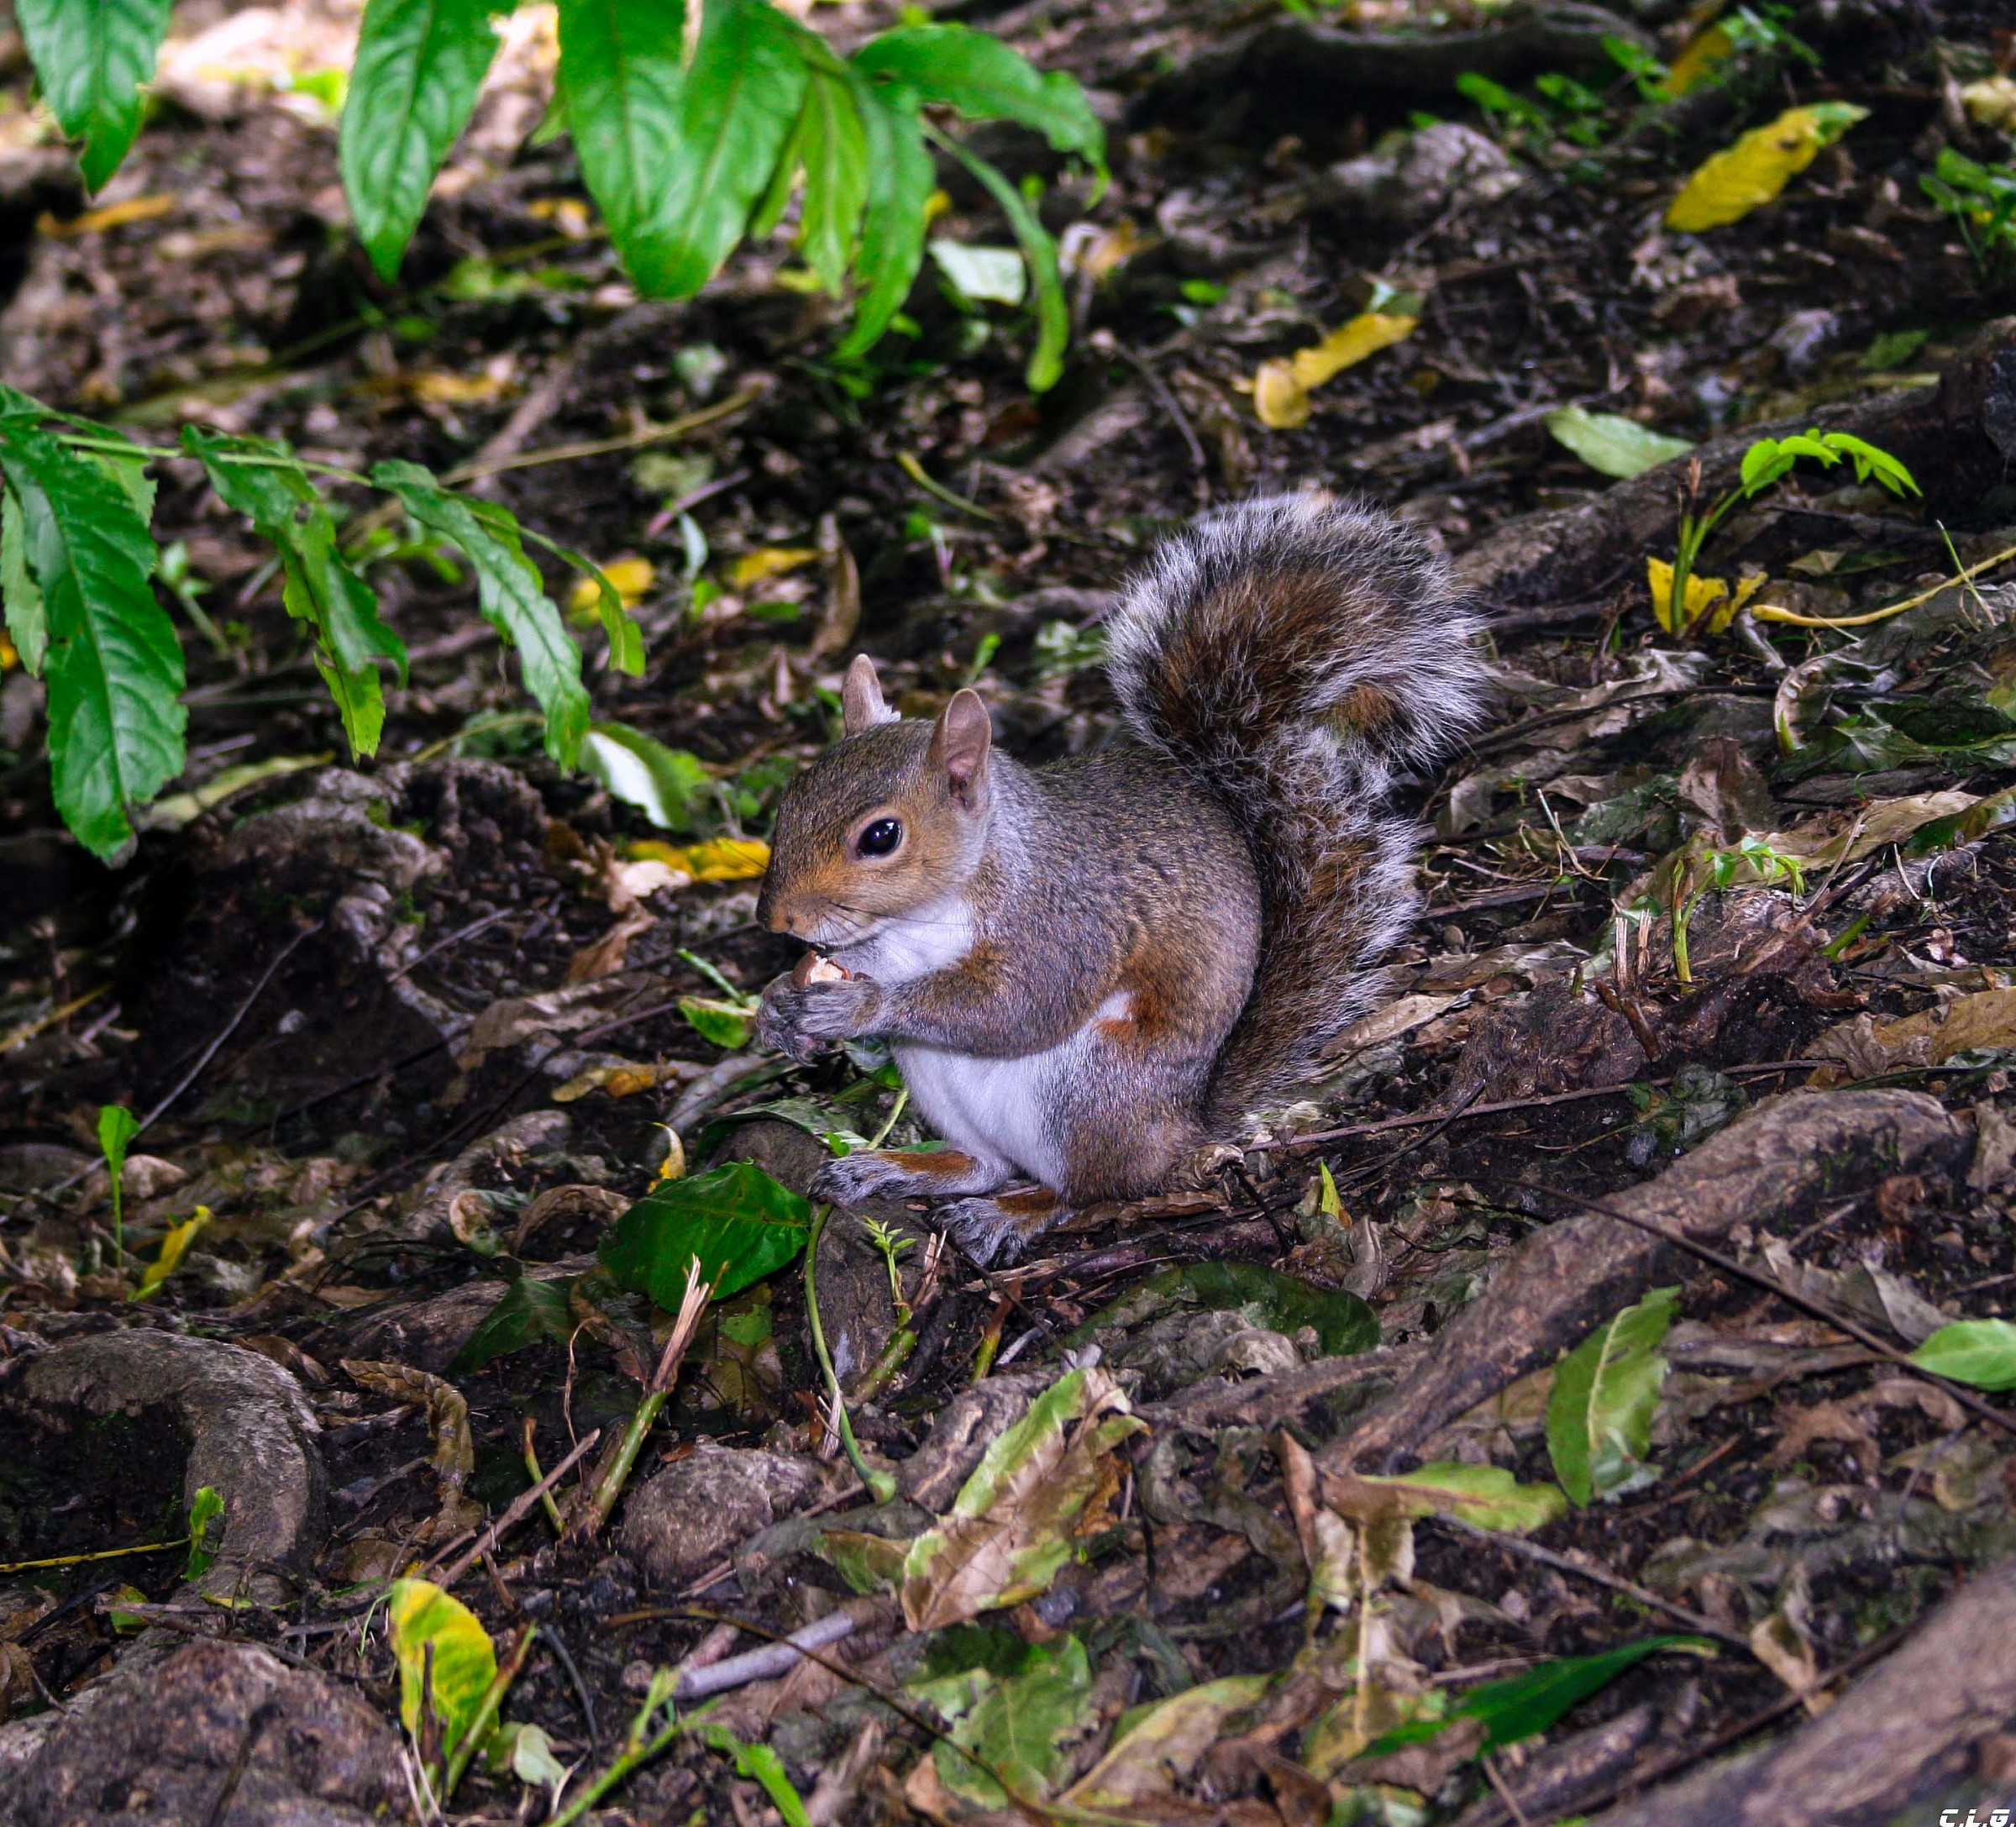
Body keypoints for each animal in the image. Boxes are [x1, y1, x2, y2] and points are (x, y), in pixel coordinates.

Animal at [754, 493, 1489, 1264]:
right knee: (985, 1163)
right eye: (790, 799)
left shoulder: (1067, 919)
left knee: (1092, 1187)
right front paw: (776, 1006)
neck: (913, 926)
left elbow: (1020, 1005)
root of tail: (1184, 1124)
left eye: (881, 836)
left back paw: (1014, 1212)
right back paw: (891, 1166)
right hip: (935, 1078)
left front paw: (858, 1007)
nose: (776, 920)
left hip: (1085, 1092)